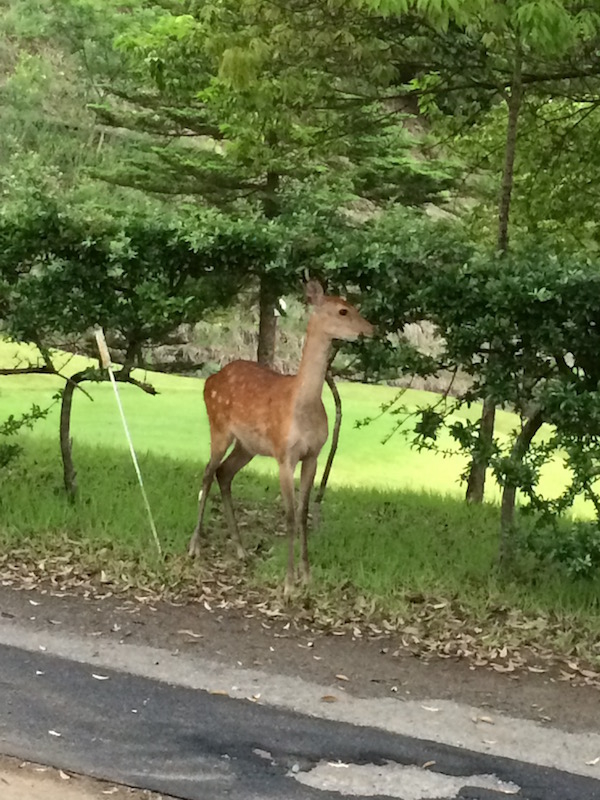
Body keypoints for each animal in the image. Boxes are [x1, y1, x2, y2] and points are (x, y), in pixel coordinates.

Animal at [188, 280, 376, 592]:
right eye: (343, 311)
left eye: (353, 306)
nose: (371, 329)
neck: (302, 406)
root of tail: (210, 380)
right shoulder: (284, 453)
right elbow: (288, 515)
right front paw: (288, 584)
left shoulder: (313, 454)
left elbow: (302, 512)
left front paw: (306, 575)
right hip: (219, 427)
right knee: (207, 473)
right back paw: (195, 547)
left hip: (247, 445)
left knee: (224, 473)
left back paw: (240, 550)